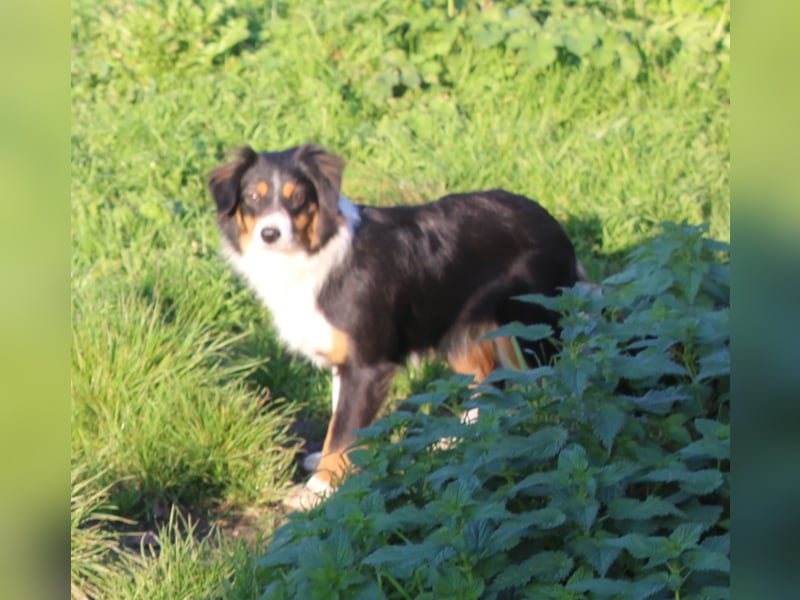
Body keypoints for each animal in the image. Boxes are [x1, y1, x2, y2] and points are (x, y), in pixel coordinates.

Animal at [209, 143, 580, 508]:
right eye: (252, 197)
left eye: (297, 196)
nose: (270, 234)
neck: (315, 251)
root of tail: (550, 220)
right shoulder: (345, 360)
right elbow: (341, 421)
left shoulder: (367, 365)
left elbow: (342, 431)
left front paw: (320, 490)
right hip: (462, 330)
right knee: (491, 383)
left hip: (535, 327)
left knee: (555, 386)